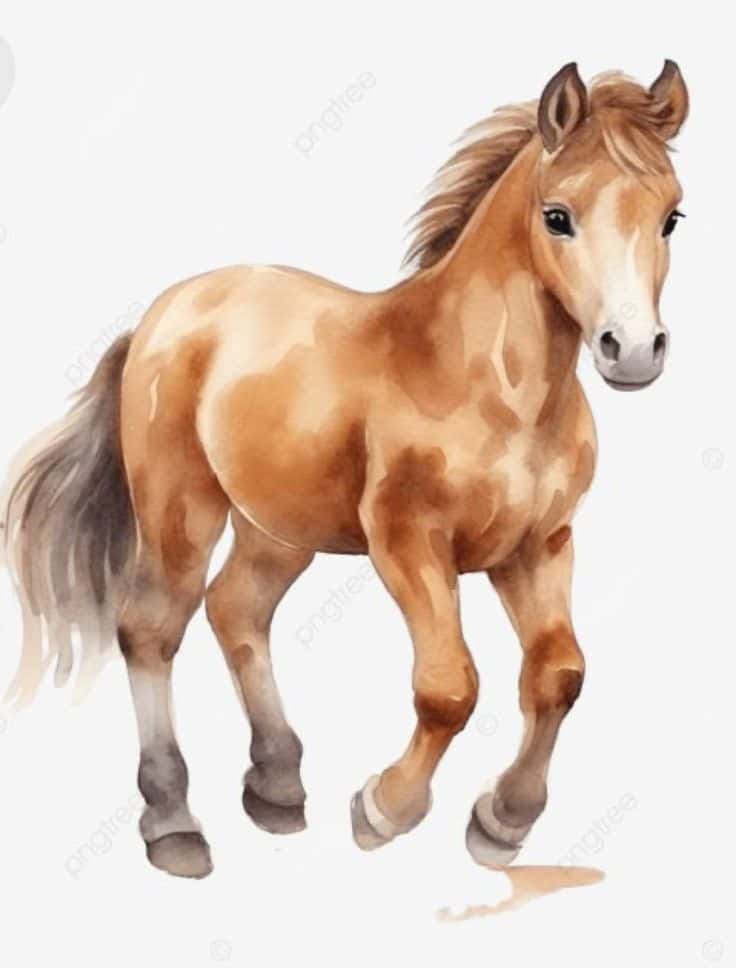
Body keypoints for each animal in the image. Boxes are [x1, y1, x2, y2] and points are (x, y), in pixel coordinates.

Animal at [1, 61, 688, 878]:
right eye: (558, 216)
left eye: (672, 216)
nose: (634, 351)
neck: (487, 384)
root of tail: (163, 317)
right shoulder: (408, 542)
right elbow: (449, 687)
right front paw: (384, 809)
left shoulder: (538, 546)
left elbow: (557, 675)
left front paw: (502, 822)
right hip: (180, 510)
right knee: (151, 628)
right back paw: (174, 826)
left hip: (278, 527)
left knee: (236, 609)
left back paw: (275, 786)